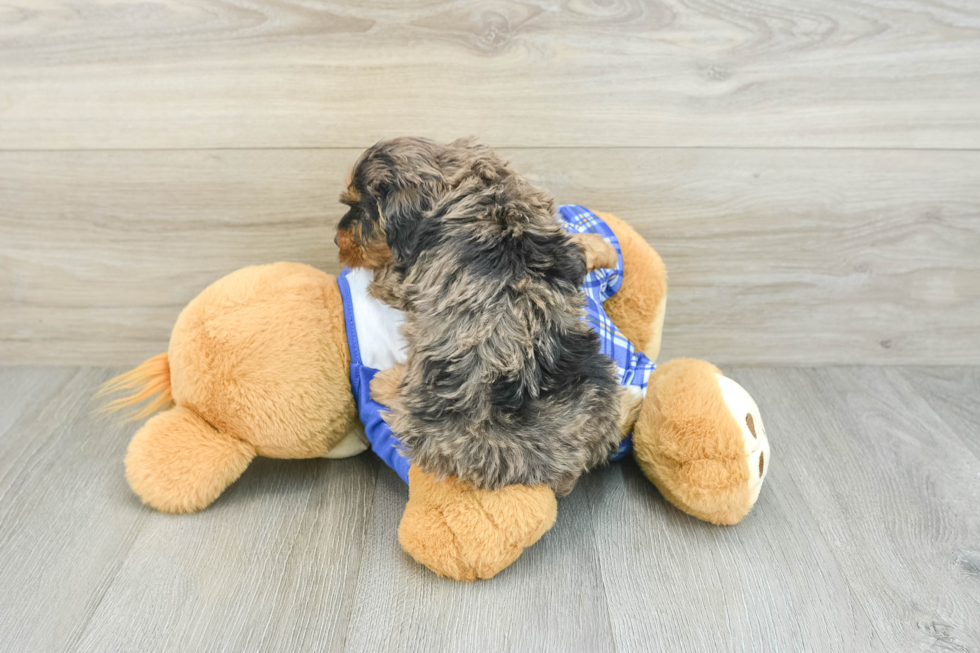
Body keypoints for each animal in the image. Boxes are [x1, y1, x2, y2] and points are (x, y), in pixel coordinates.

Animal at [336, 138, 624, 494]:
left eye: (360, 210)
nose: (336, 238)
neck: (454, 178)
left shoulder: (400, 279)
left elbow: (381, 279)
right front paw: (598, 245)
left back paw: (383, 383)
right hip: (601, 379)